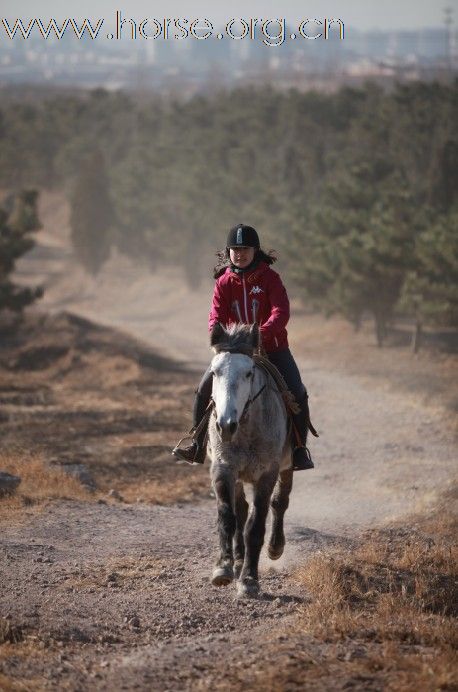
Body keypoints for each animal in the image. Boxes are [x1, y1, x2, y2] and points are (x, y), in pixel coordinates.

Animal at [208, 322, 294, 596]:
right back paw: (237, 560)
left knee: (280, 503)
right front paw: (223, 568)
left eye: (248, 373)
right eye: (215, 373)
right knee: (241, 510)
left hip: (288, 466)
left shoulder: (267, 474)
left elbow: (255, 526)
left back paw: (275, 547)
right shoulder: (223, 469)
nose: (225, 425)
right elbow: (228, 517)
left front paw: (249, 580)